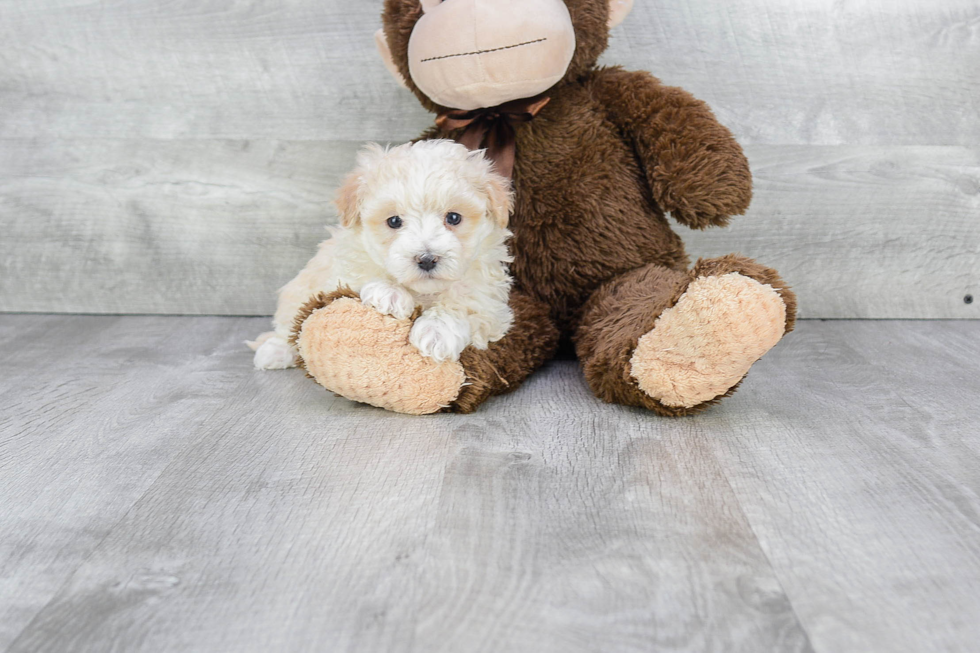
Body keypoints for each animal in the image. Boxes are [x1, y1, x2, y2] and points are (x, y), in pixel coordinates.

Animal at [251, 140, 512, 370]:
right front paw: (389, 294)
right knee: (291, 323)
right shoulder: (343, 268)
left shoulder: (490, 306)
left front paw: (437, 331)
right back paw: (274, 351)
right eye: (394, 221)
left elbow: (464, 304)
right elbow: (360, 277)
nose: (427, 259)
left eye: (454, 218)